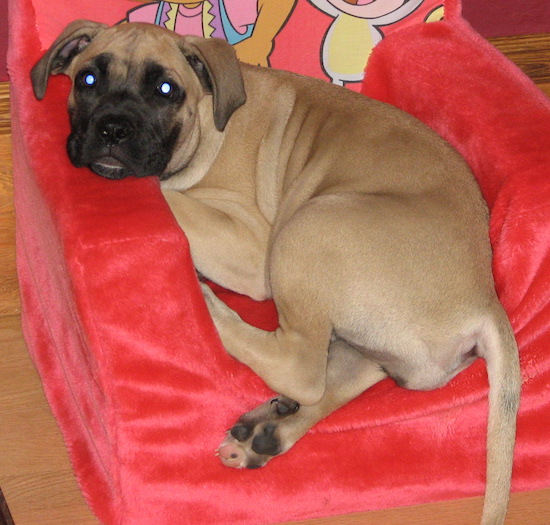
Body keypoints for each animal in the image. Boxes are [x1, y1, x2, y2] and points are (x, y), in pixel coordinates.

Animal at [32, 21, 524, 524]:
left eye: (166, 90)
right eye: (87, 80)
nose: (112, 129)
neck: (207, 125)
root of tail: (485, 301)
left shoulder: (250, 243)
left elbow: (166, 192)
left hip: (308, 226)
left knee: (299, 366)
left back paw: (214, 312)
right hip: (377, 347)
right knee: (327, 381)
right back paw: (264, 433)